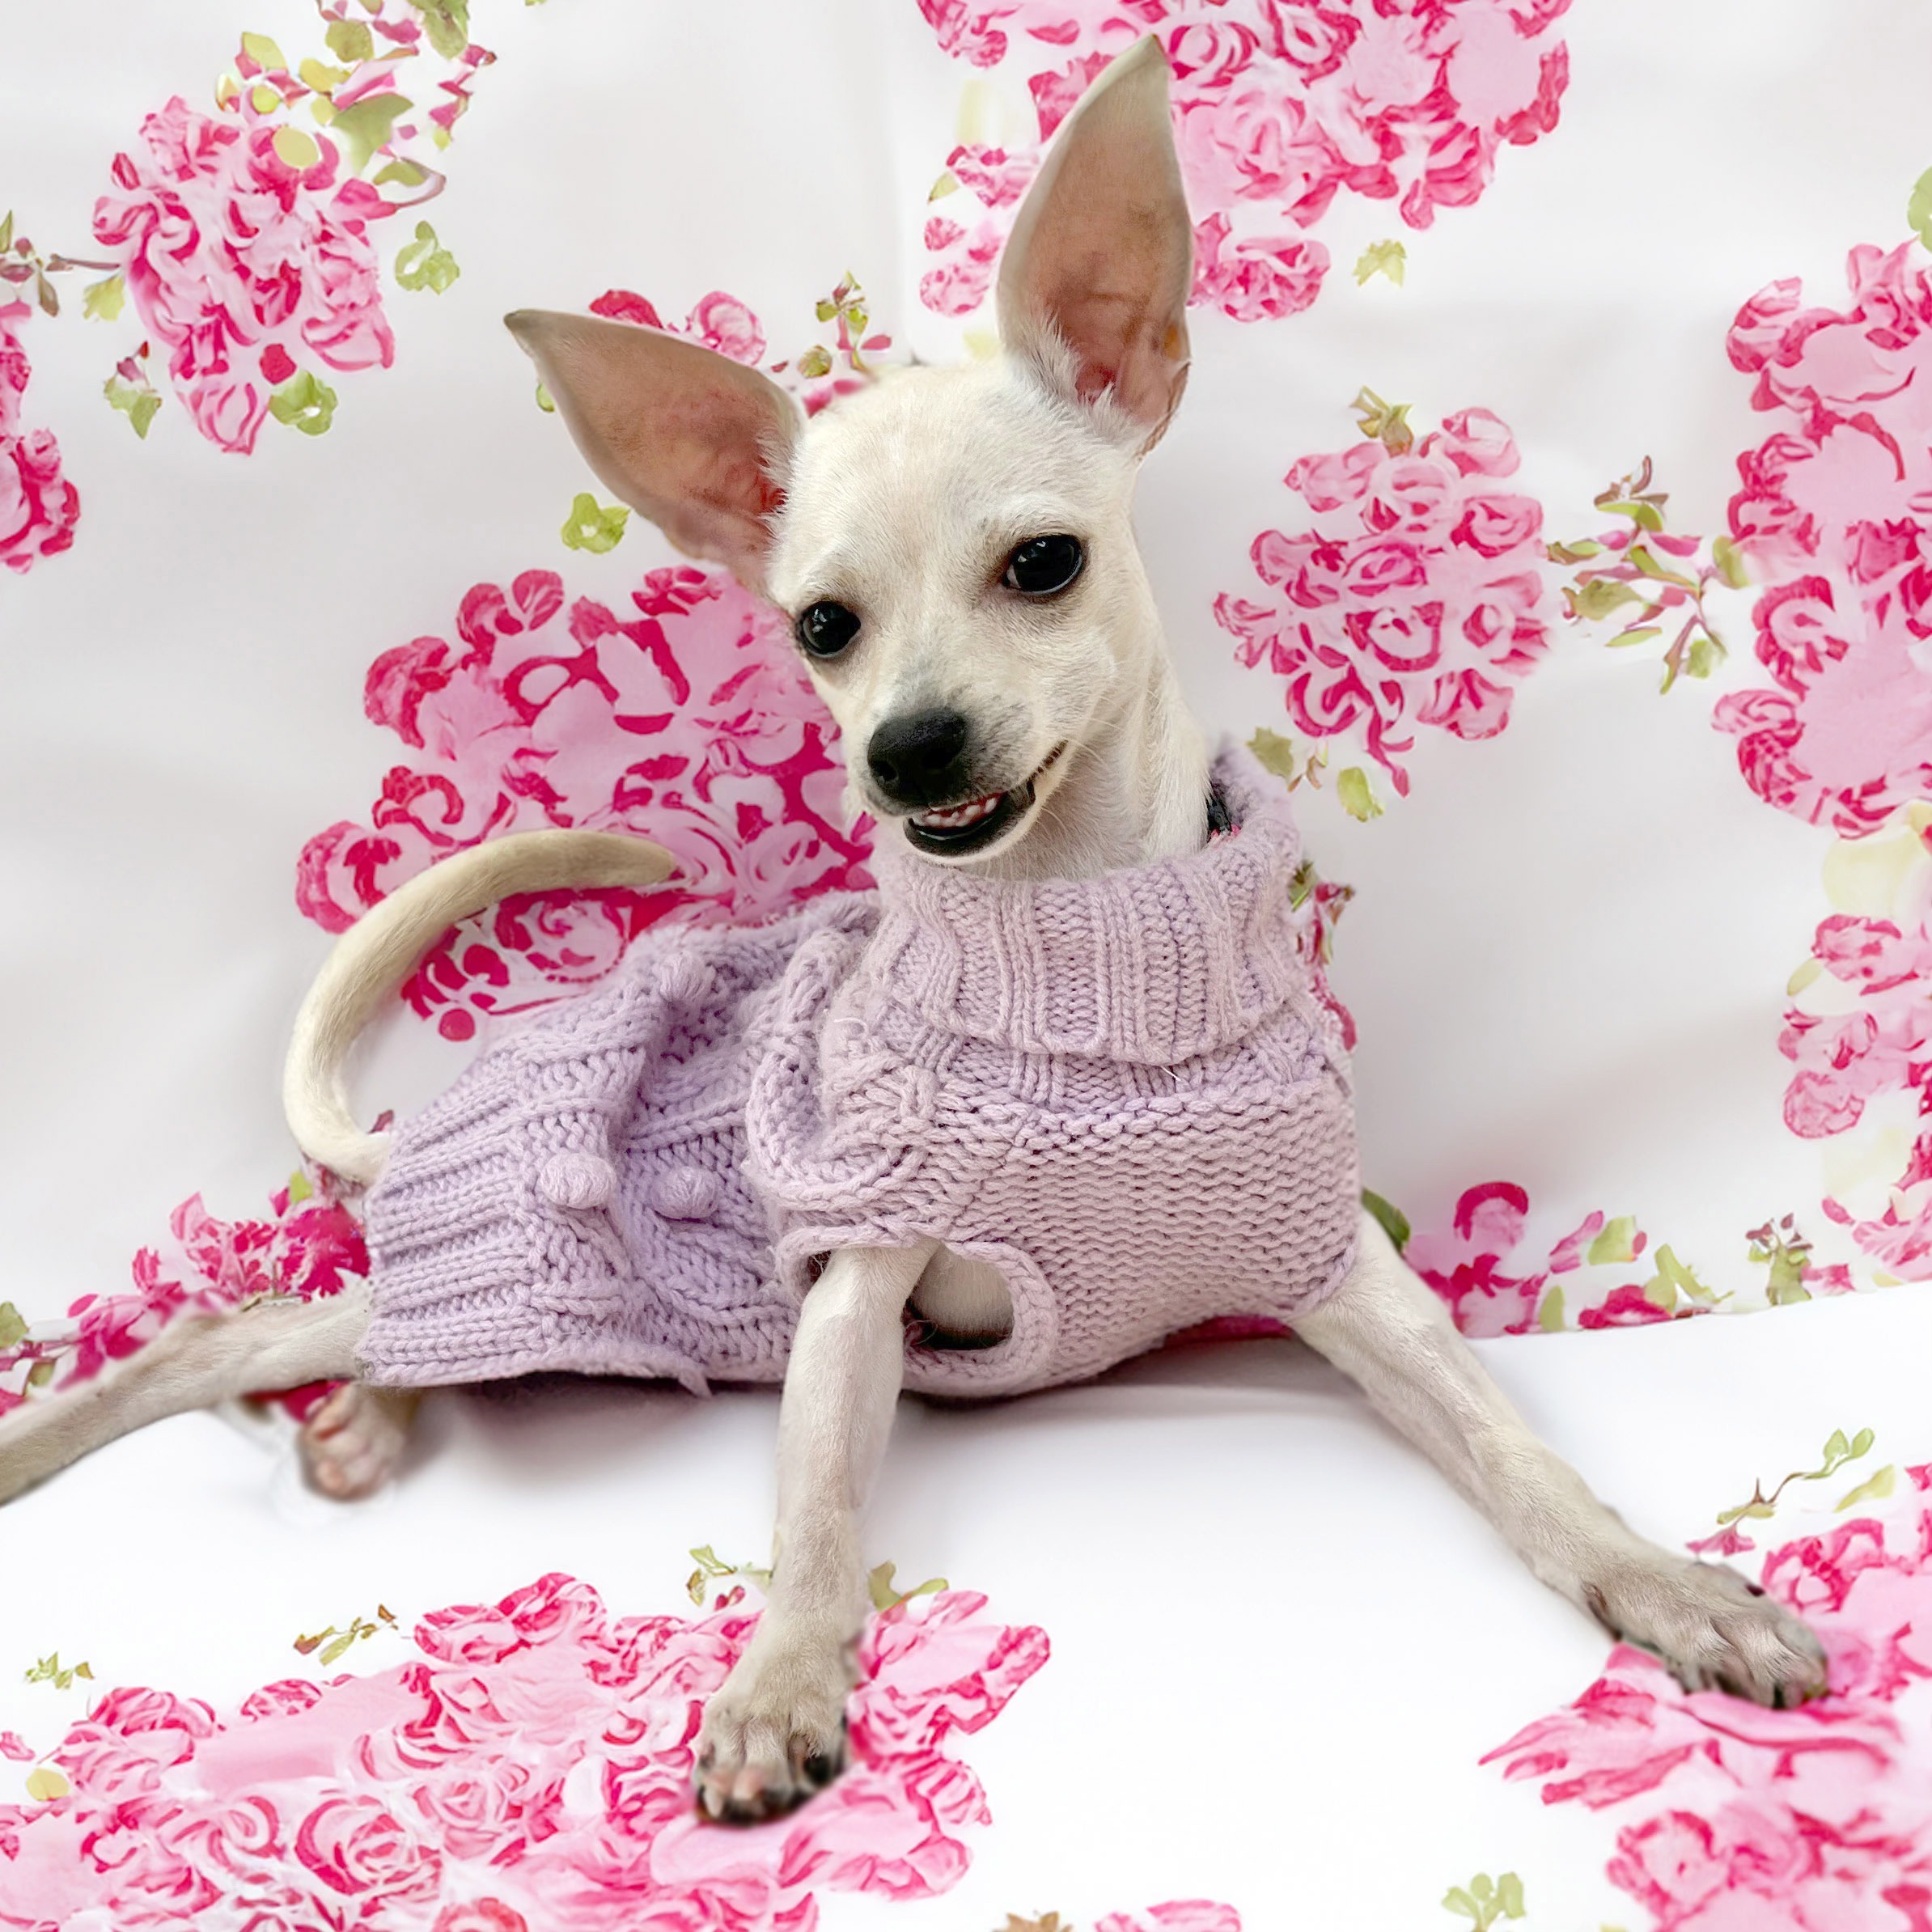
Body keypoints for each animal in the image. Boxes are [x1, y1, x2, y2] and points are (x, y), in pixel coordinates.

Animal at [0, 41, 1824, 1824]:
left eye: (1044, 563)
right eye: (822, 626)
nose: (908, 750)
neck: (1077, 957)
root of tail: (433, 1119)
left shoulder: (1342, 1274)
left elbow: (1517, 1455)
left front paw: (1665, 1583)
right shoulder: (852, 1290)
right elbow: (814, 1516)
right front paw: (780, 1683)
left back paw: (364, 1421)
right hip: (507, 1248)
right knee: (229, 1334)